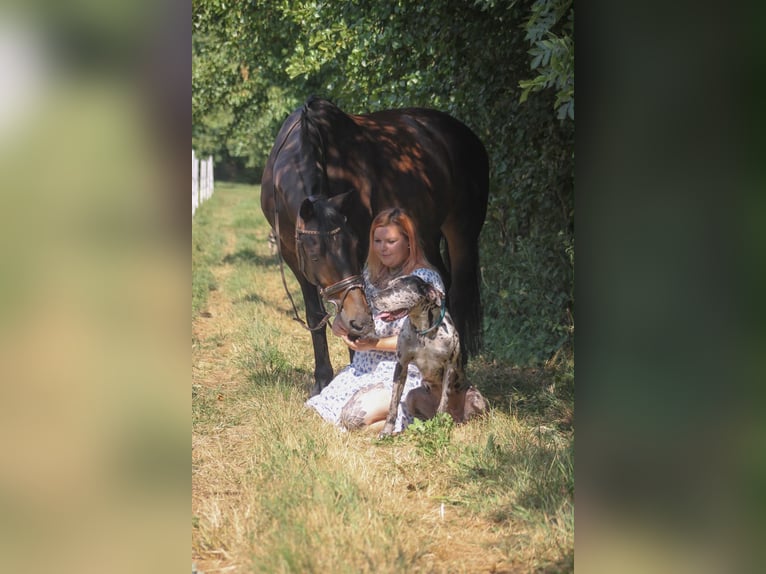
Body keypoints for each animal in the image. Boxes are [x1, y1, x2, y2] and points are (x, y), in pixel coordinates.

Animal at [261, 96, 489, 396]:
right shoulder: (293, 257)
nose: (359, 320)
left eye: (355, 243)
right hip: (426, 235)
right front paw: (322, 380)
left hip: (461, 231)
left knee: (459, 292)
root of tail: (466, 135)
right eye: (314, 254)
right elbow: (315, 315)